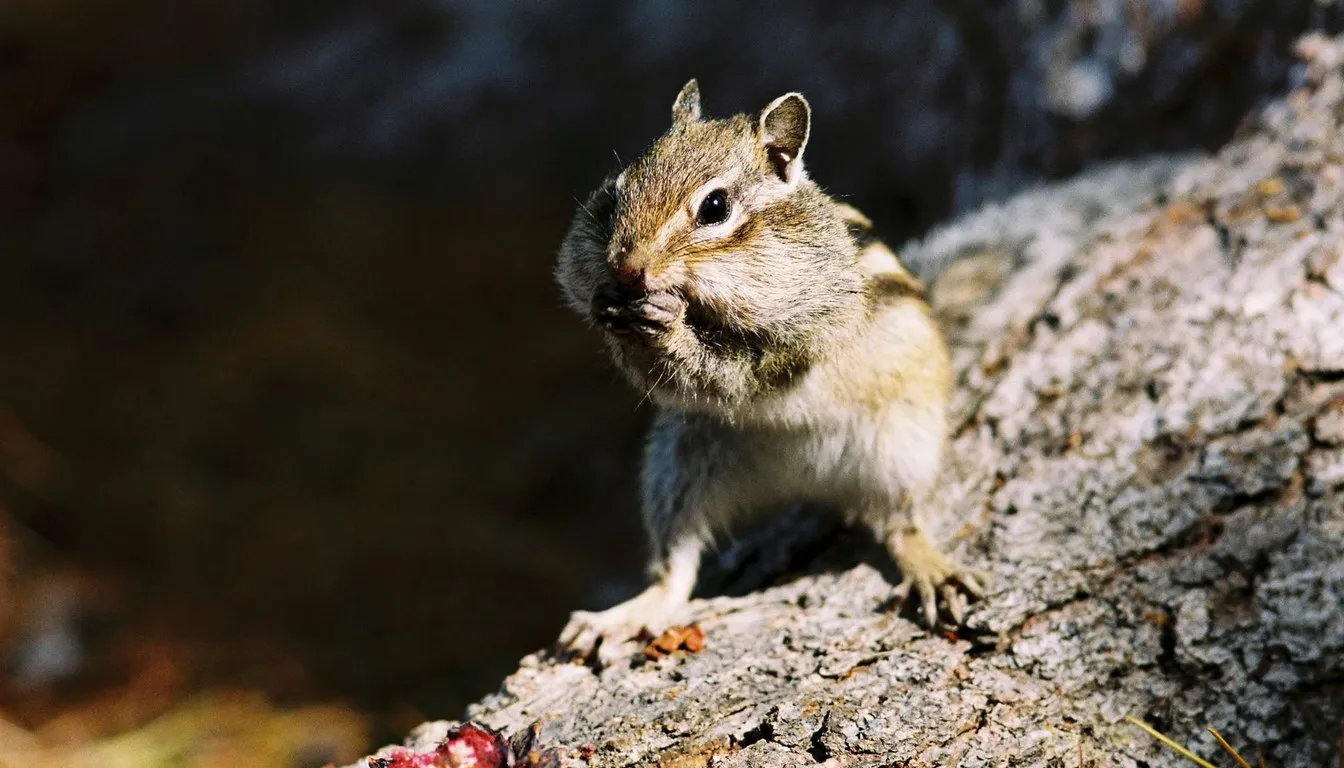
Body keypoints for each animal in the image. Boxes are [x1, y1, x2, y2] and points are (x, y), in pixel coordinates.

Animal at [554, 79, 986, 663]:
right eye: (617, 191)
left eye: (715, 206)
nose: (625, 269)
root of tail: (804, 478)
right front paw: (610, 308)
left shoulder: (809, 333)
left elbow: (745, 369)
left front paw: (670, 329)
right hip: (679, 464)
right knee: (675, 565)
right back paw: (626, 615)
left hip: (902, 449)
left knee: (901, 523)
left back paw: (929, 567)